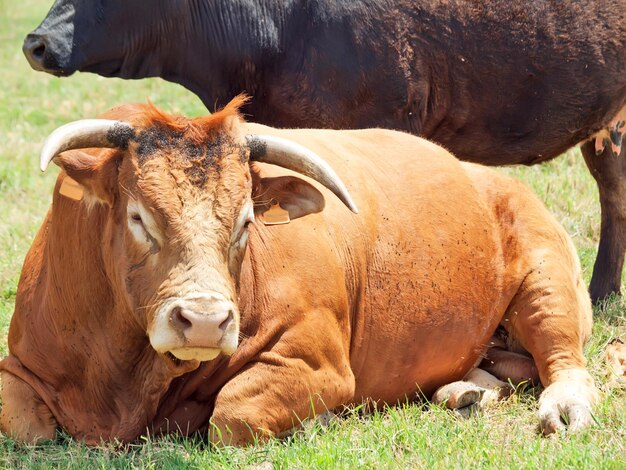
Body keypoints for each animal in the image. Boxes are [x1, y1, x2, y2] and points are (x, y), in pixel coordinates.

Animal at [0, 99, 596, 444]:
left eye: (245, 221)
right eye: (138, 217)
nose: (205, 321)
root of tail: (490, 177)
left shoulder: (318, 362)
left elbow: (232, 415)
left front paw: (321, 418)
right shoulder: (22, 365)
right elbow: (25, 426)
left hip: (548, 277)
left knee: (563, 361)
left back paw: (562, 406)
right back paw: (464, 391)